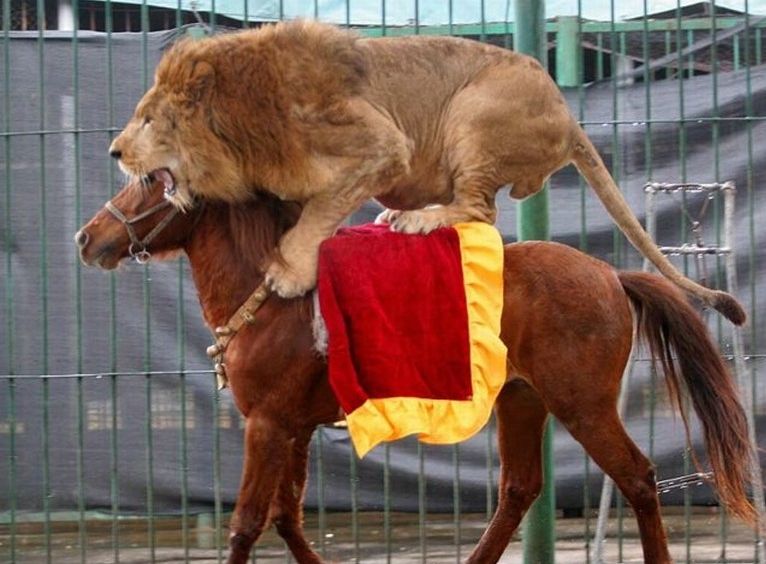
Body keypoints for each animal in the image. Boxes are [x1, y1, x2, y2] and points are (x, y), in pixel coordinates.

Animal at [75, 178, 757, 564]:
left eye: (148, 182)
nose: (87, 238)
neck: (272, 296)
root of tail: (611, 274)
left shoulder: (266, 424)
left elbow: (246, 526)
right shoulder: (292, 427)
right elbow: (287, 519)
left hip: (581, 404)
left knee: (638, 478)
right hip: (523, 400)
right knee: (519, 490)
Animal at [109, 20, 745, 324]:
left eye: (148, 119)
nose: (113, 152)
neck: (239, 126)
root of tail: (568, 114)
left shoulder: (384, 144)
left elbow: (316, 215)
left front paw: (288, 272)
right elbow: (309, 211)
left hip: (475, 110)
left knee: (481, 208)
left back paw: (417, 219)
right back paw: (399, 214)